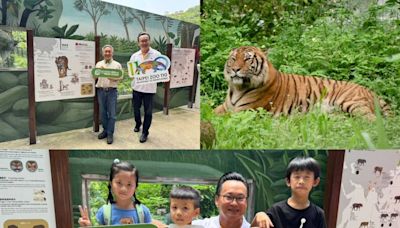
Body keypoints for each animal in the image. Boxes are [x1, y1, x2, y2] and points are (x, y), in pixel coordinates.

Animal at [216, 45, 390, 118]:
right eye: (233, 59)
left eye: (247, 59)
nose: (235, 69)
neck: (237, 88)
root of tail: (371, 91)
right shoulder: (225, 107)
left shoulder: (244, 111)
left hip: (353, 103)